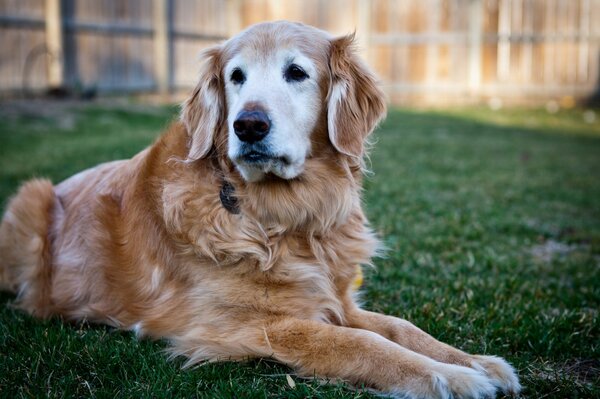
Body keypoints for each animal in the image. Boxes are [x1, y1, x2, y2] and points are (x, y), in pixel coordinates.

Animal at [0, 22, 520, 399]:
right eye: (236, 77)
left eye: (297, 72)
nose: (248, 124)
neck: (284, 219)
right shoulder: (242, 326)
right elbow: (358, 342)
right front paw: (451, 378)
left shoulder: (334, 299)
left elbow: (400, 327)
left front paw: (474, 361)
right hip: (31, 197)